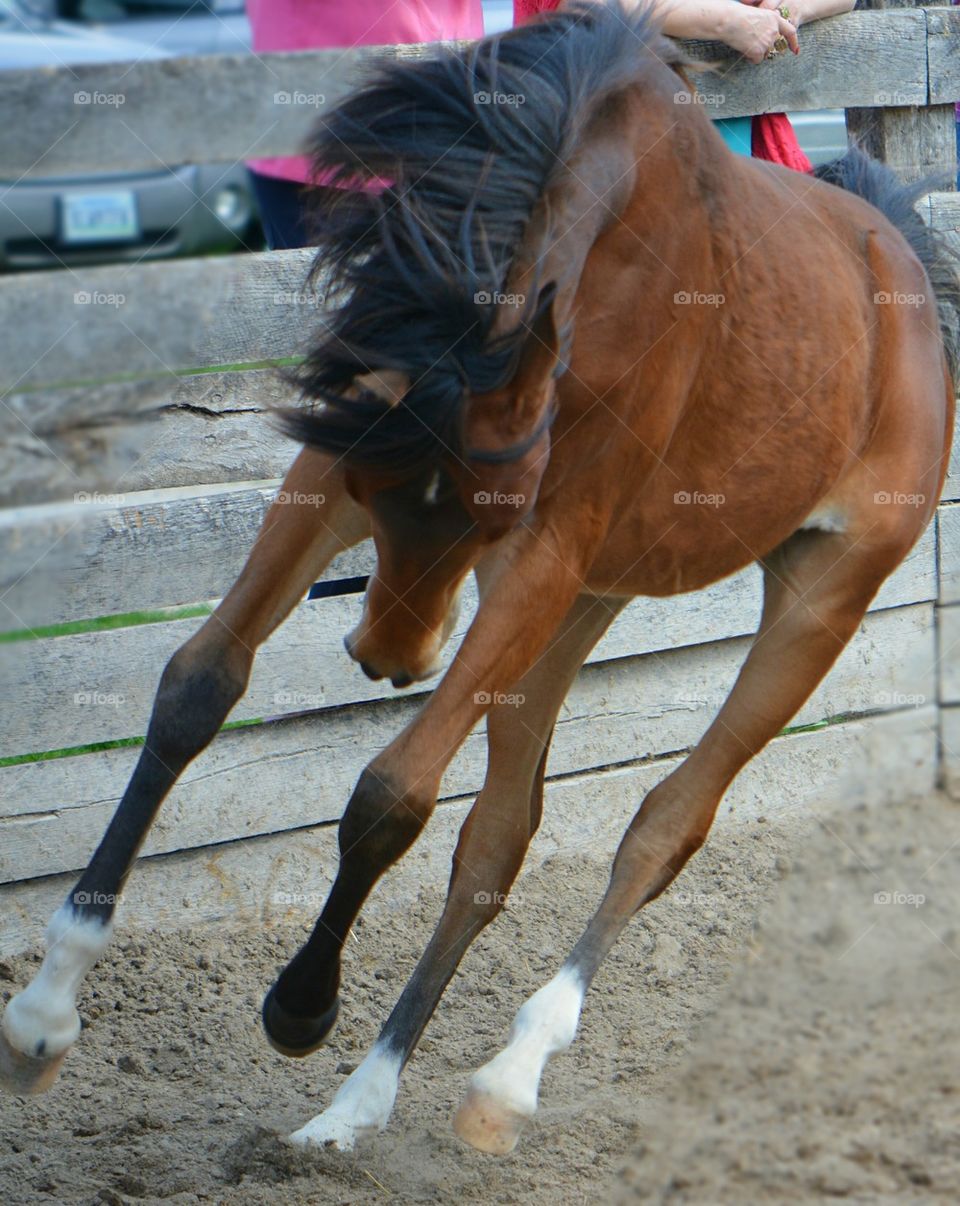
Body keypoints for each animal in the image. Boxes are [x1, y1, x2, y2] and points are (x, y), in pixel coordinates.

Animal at [1, 0, 956, 1158]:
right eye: (381, 488)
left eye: (485, 512)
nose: (387, 653)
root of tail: (900, 265)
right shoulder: (337, 465)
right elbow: (197, 685)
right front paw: (44, 1013)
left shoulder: (542, 548)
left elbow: (392, 793)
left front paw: (301, 1004)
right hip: (585, 605)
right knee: (500, 835)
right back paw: (360, 1102)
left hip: (816, 598)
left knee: (664, 824)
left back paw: (510, 1071)